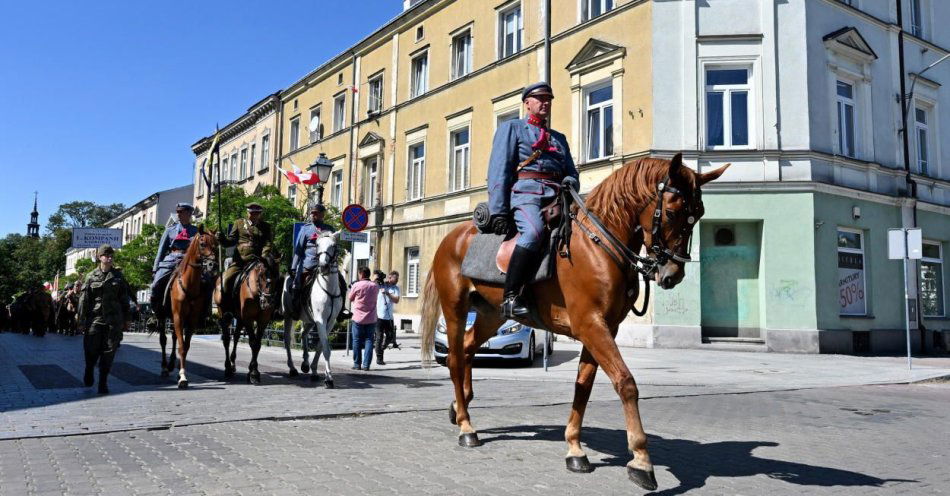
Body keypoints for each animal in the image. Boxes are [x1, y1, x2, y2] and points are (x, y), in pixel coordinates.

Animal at [167, 227, 221, 390]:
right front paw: (182, 377)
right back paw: (166, 367)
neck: (188, 284)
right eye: (202, 244)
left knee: (174, 337)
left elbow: (186, 346)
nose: (213, 265)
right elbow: (181, 346)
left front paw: (181, 374)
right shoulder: (178, 316)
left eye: (216, 244)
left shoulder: (192, 319)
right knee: (164, 339)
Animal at [213, 254, 278, 386]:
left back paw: (233, 363)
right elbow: (253, 343)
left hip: (239, 318)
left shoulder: (262, 320)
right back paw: (228, 368)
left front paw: (252, 371)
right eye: (261, 275)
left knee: (236, 336)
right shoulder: (248, 319)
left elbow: (257, 344)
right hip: (224, 314)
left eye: (276, 275)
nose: (268, 302)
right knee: (226, 339)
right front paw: (253, 373)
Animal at [282, 232, 350, 388]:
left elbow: (320, 346)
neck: (328, 287)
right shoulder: (320, 320)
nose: (323, 266)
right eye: (317, 244)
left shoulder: (329, 322)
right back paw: (292, 368)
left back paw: (306, 364)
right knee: (287, 340)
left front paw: (314, 370)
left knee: (303, 334)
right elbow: (325, 347)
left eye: (333, 245)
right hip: (289, 316)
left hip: (309, 319)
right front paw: (329, 378)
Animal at [422, 154, 728, 488]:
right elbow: (626, 382)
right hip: (455, 308)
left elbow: (584, 385)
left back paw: (460, 406)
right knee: (454, 359)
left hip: (491, 314)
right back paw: (467, 427)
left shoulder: (605, 328)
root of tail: (451, 237)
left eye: (698, 215)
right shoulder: (590, 325)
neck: (599, 244)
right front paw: (641, 460)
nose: (673, 274)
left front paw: (575, 449)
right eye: (672, 212)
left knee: (466, 348)